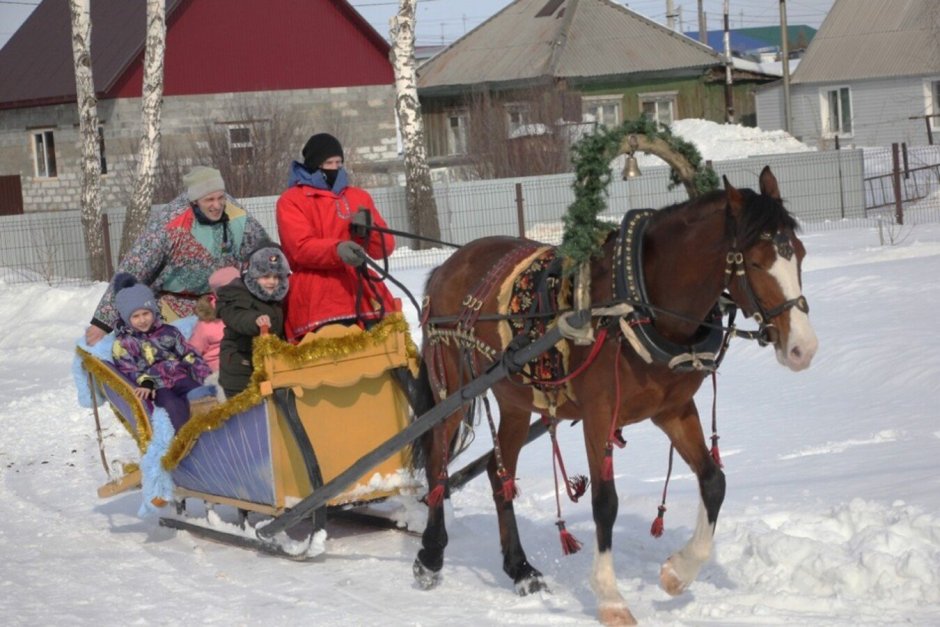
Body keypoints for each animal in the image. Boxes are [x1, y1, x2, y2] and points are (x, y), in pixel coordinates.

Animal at [412, 167, 816, 624]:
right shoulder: (599, 414)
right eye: (756, 261)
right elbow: (605, 501)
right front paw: (610, 598)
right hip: (453, 389)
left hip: (514, 399)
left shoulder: (673, 409)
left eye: (800, 254)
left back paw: (521, 570)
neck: (637, 300)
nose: (804, 348)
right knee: (438, 466)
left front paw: (678, 573)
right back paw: (430, 557)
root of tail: (448, 265)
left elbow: (714, 481)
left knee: (501, 479)